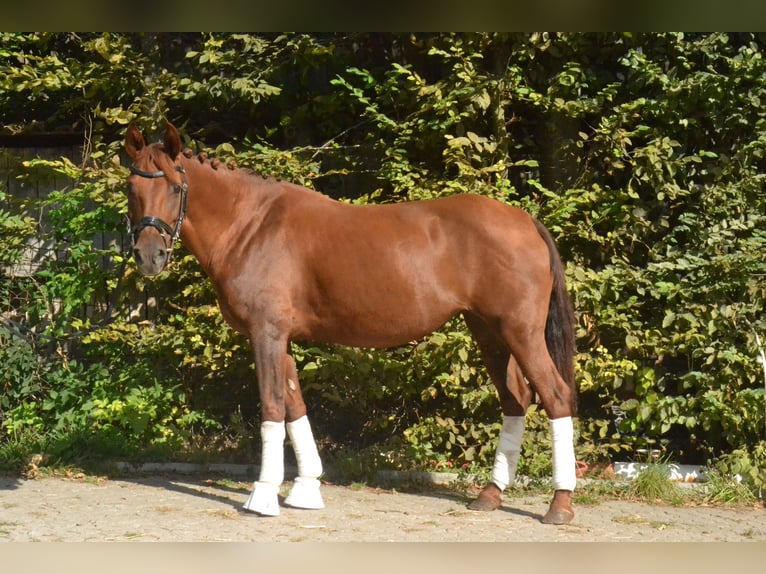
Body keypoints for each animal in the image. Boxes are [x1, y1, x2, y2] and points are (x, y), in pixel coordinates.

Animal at [126, 122, 580, 528]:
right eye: (131, 188)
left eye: (173, 186)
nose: (149, 256)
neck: (250, 225)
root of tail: (525, 221)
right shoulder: (280, 337)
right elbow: (295, 406)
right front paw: (306, 489)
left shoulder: (265, 332)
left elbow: (272, 406)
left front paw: (263, 496)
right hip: (488, 331)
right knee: (515, 399)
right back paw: (489, 495)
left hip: (520, 332)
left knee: (556, 396)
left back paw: (559, 504)